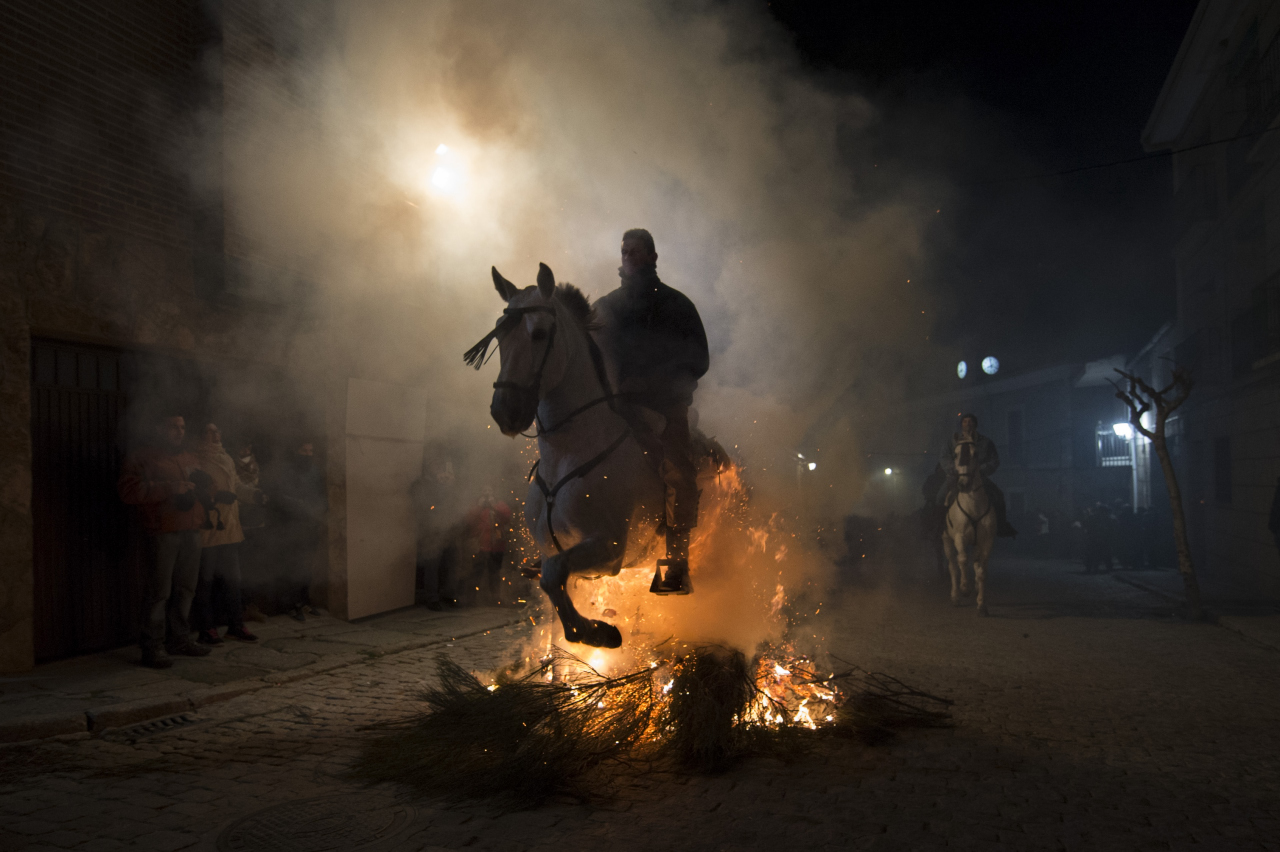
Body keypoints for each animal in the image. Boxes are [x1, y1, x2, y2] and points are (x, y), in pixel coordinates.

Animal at [471, 262, 670, 647]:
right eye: (500, 336)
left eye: (539, 333)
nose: (505, 411)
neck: (567, 454)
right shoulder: (553, 549)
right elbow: (553, 584)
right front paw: (587, 630)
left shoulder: (609, 548)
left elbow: (553, 574)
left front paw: (597, 632)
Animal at [942, 434, 998, 614]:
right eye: (955, 454)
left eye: (975, 454)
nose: (963, 484)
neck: (973, 506)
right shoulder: (959, 537)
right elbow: (962, 560)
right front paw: (964, 588)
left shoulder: (986, 541)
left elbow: (982, 571)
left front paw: (981, 604)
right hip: (946, 541)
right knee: (953, 566)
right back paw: (956, 596)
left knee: (975, 562)